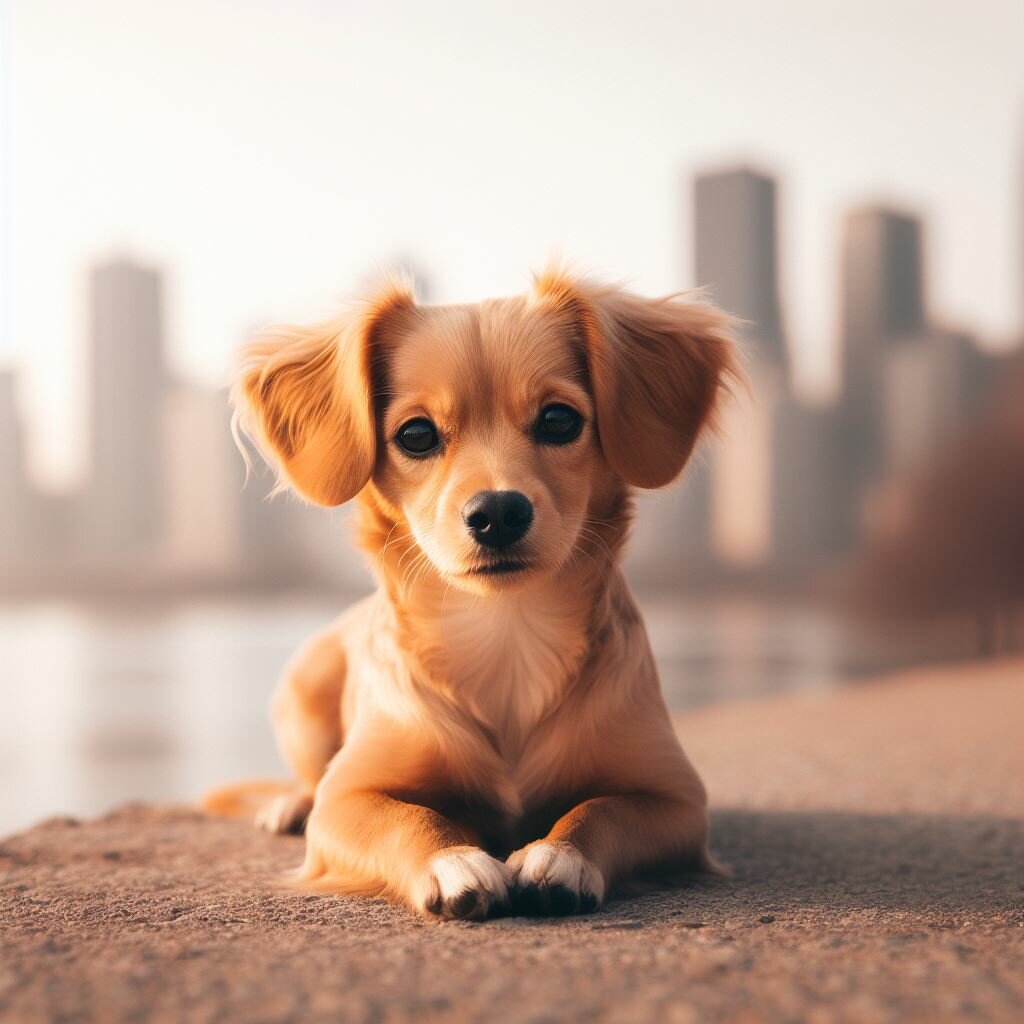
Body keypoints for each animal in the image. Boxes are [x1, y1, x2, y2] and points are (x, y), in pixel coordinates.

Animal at [205, 266, 737, 921]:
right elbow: (407, 818)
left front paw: (560, 855)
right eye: (416, 434)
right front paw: (453, 861)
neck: (504, 632)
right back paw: (288, 806)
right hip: (303, 695)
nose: (499, 512)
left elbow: (601, 809)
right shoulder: (348, 797)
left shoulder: (678, 801)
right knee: (308, 783)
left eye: (559, 420)